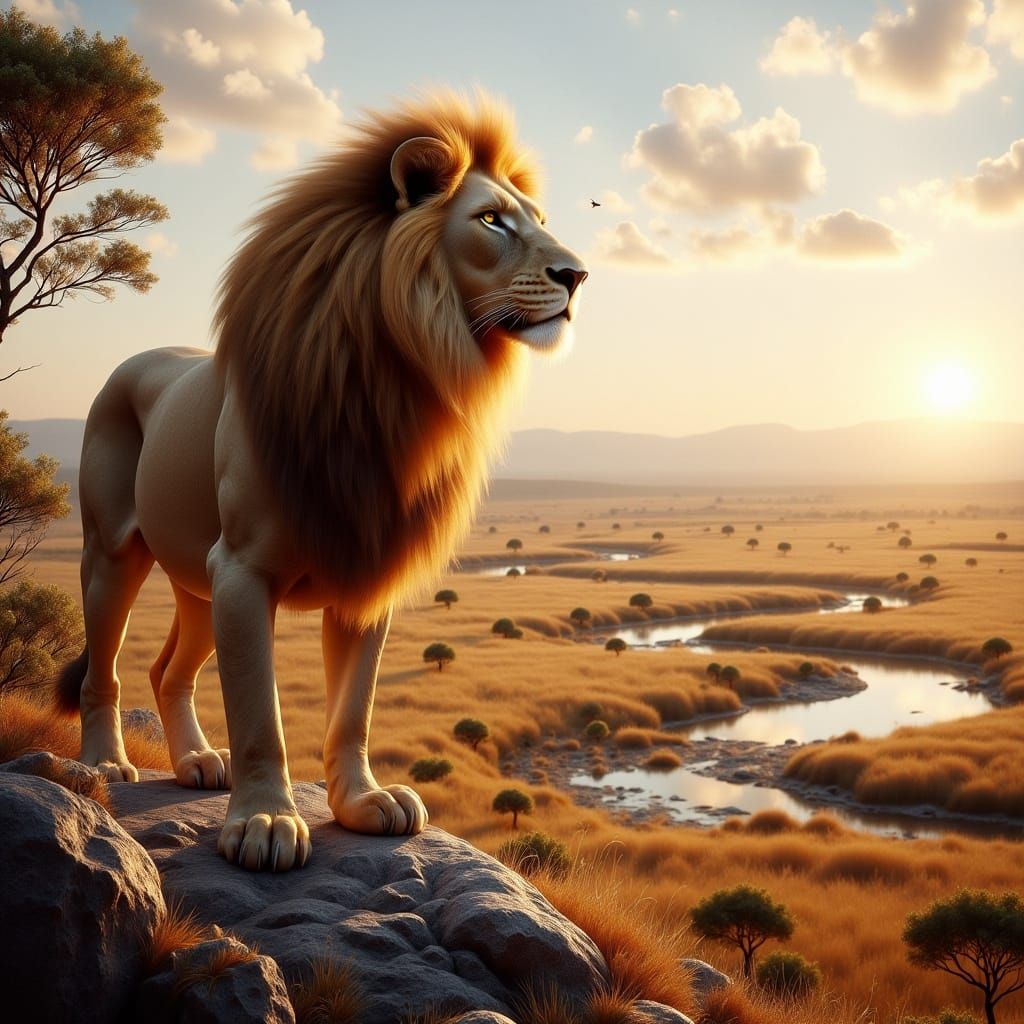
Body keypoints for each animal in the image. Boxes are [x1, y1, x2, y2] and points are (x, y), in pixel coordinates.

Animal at [55, 92, 586, 872]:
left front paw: (364, 803)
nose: (577, 276)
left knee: (168, 672)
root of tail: (136, 359)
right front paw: (265, 821)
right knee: (107, 668)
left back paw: (195, 762)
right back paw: (105, 764)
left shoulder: (364, 568)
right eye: (491, 220)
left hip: (197, 579)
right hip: (113, 553)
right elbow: (260, 715)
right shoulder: (244, 569)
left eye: (541, 220)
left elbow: (353, 709)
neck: (399, 383)